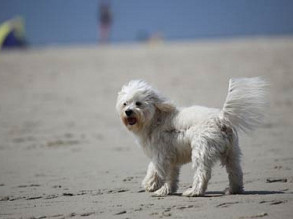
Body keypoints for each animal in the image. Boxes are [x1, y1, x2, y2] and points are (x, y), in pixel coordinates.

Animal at [115, 77, 266, 197]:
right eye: (125, 103)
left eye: (138, 103)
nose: (128, 112)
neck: (155, 119)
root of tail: (221, 118)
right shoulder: (171, 158)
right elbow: (171, 176)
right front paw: (165, 191)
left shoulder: (160, 154)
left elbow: (154, 169)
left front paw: (150, 185)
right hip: (231, 152)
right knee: (235, 171)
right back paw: (233, 190)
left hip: (201, 151)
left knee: (202, 173)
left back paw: (194, 192)